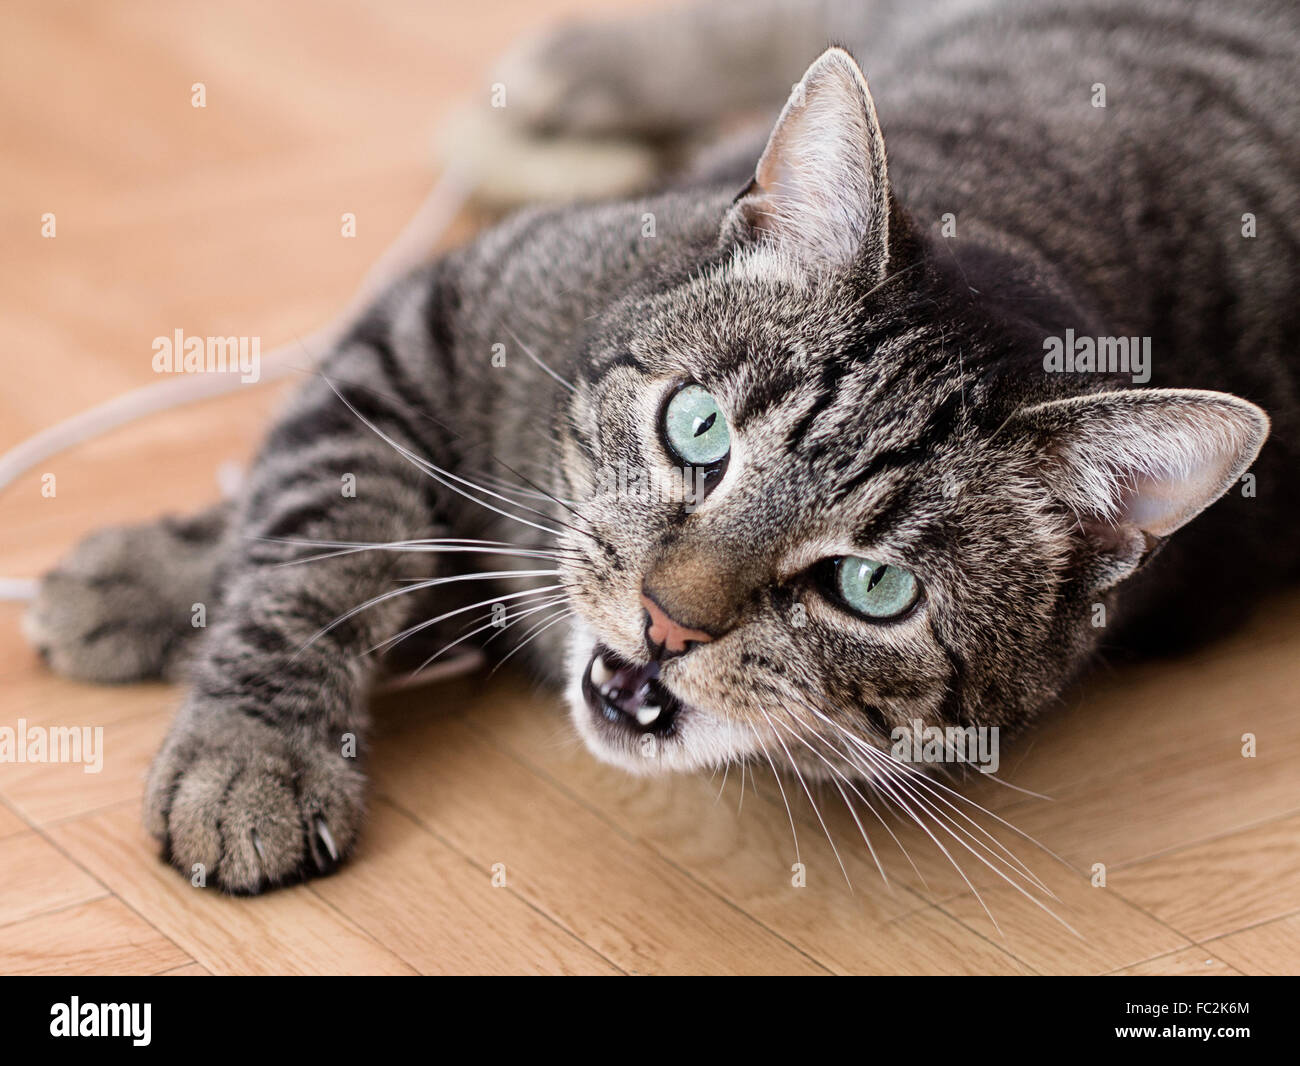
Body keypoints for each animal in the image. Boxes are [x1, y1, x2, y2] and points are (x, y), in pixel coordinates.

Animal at [25, 0, 1294, 894]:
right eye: (697, 427)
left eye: (873, 588)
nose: (667, 620)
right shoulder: (440, 309)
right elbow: (323, 539)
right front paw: (237, 723)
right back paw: (580, 69)